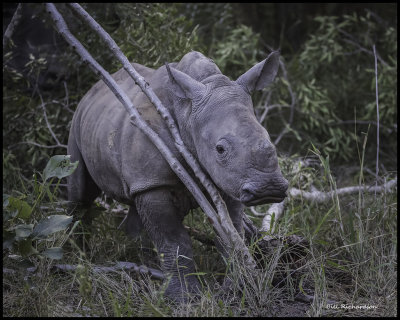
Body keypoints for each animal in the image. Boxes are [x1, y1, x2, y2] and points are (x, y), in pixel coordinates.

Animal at [68, 50, 288, 302]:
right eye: (220, 149)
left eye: (269, 138)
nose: (268, 189)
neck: (187, 114)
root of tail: (89, 93)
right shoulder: (153, 183)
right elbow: (173, 239)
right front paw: (185, 298)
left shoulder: (229, 181)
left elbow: (231, 233)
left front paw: (236, 290)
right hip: (77, 122)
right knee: (80, 192)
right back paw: (79, 256)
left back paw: (144, 264)